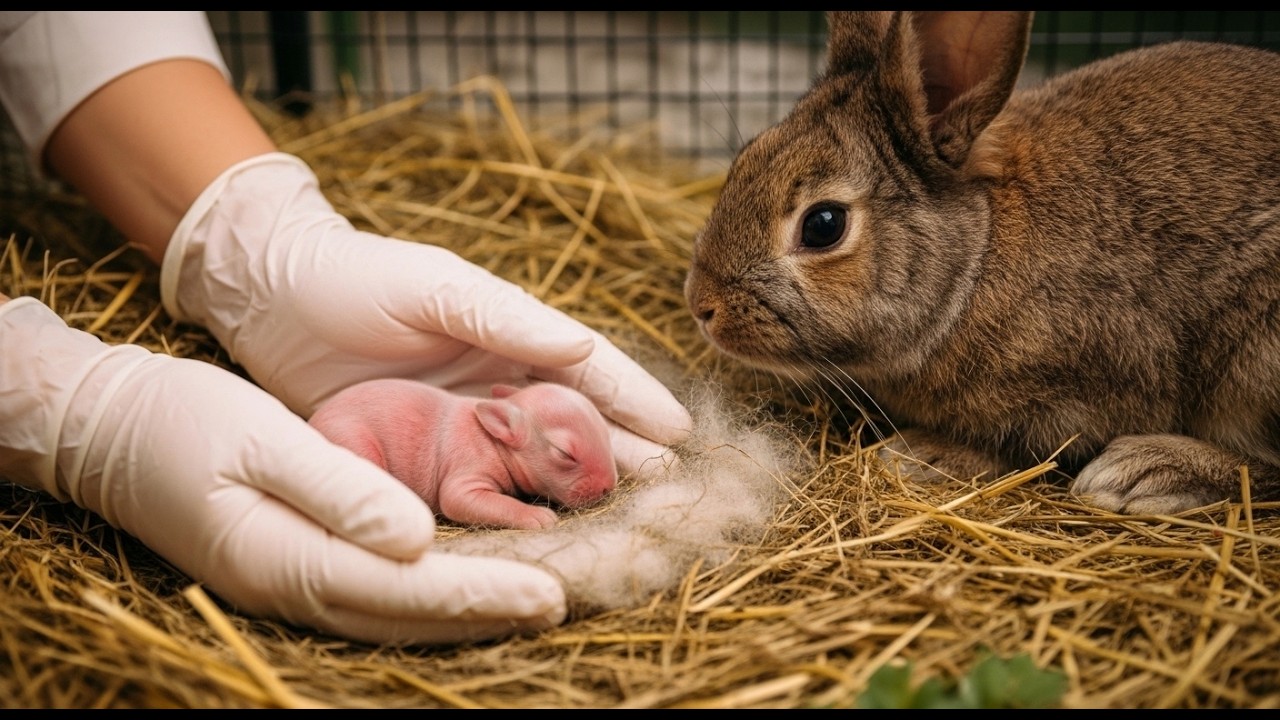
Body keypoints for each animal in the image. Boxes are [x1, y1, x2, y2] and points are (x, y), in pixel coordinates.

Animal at [309, 378, 618, 530]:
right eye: (565, 454)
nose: (608, 488)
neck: (493, 440)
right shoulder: (467, 468)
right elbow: (457, 499)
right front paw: (537, 515)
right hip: (352, 440)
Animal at [683, 10, 1280, 515]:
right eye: (745, 157)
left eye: (823, 225)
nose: (701, 306)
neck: (975, 262)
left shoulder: (1087, 384)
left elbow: (1024, 450)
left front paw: (921, 456)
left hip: (1254, 356)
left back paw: (1144, 472)